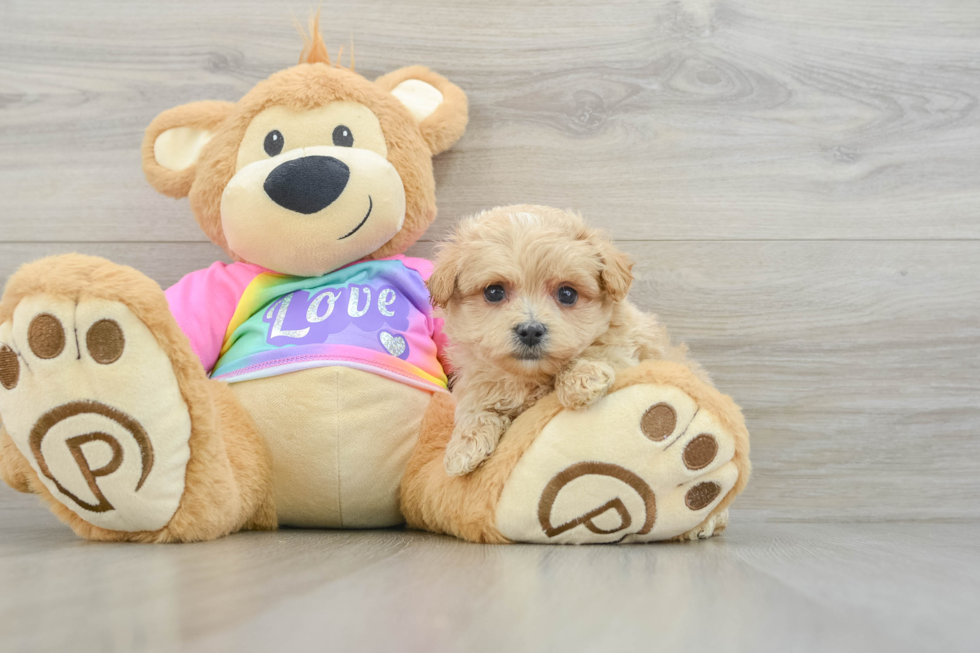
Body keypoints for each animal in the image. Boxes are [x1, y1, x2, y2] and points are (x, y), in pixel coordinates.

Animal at [430, 206, 704, 476]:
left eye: (567, 294)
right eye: (494, 292)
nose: (531, 330)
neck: (531, 376)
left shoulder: (626, 350)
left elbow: (596, 352)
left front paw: (581, 380)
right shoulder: (478, 378)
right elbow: (474, 404)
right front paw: (463, 447)